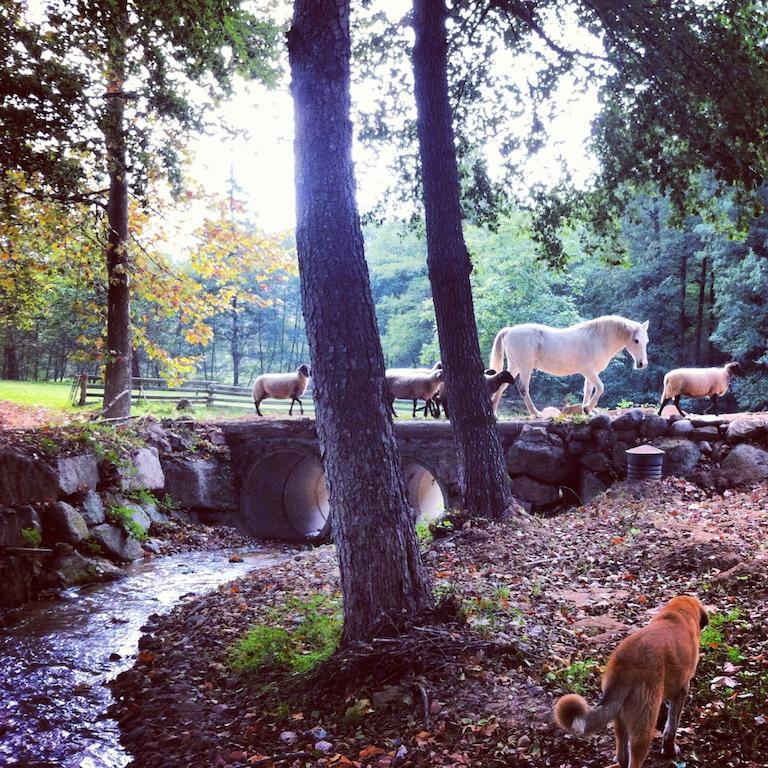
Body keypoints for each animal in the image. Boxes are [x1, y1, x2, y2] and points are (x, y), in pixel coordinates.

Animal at [488, 316, 644, 416]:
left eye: (646, 340)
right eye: (636, 340)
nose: (642, 364)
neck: (598, 338)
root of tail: (510, 330)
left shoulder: (591, 372)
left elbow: (588, 389)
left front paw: (587, 410)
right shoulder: (588, 370)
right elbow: (600, 387)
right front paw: (588, 409)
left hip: (514, 367)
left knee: (502, 384)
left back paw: (494, 412)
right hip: (525, 367)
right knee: (523, 388)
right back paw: (536, 413)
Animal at [552, 600, 708, 768]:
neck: (677, 613)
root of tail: (625, 666)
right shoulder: (682, 690)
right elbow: (671, 726)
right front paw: (669, 750)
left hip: (619, 719)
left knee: (622, 754)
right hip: (643, 726)